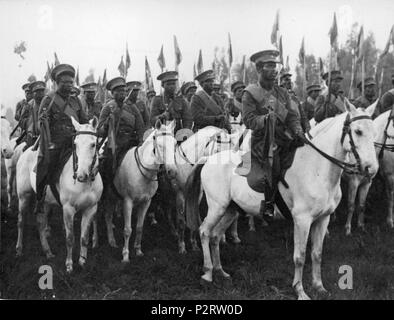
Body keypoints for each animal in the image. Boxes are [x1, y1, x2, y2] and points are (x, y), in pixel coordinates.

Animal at [15, 116, 102, 272]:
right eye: (75, 144)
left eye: (93, 144)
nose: (81, 176)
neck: (85, 185)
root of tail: (27, 150)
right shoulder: (68, 209)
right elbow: (70, 238)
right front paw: (69, 264)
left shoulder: (91, 208)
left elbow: (84, 238)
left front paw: (82, 261)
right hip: (23, 196)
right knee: (21, 221)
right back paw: (19, 249)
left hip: (43, 201)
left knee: (40, 223)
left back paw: (47, 251)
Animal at [104, 120, 179, 262]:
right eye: (160, 145)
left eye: (175, 143)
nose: (172, 171)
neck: (143, 172)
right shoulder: (128, 202)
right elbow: (128, 230)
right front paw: (125, 255)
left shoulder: (146, 202)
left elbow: (139, 227)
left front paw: (138, 250)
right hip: (108, 197)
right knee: (108, 217)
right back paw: (111, 240)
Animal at [186, 101, 378, 298]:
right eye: (358, 131)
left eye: (374, 132)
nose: (371, 169)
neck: (317, 169)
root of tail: (208, 159)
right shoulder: (302, 220)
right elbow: (300, 257)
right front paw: (300, 291)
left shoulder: (323, 219)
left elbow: (317, 254)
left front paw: (319, 287)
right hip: (217, 207)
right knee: (204, 232)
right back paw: (208, 273)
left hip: (231, 210)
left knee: (215, 236)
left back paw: (220, 271)